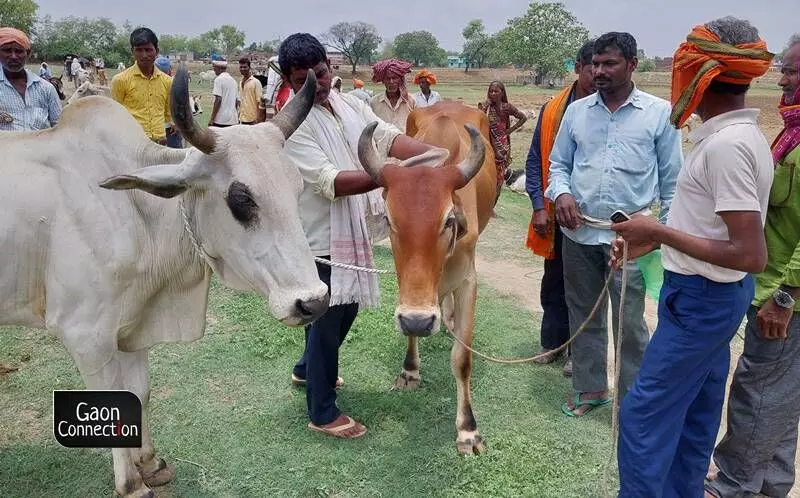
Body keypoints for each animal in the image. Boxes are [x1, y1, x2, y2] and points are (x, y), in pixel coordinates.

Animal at [0, 67, 328, 498]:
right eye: (241, 200)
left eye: (298, 189)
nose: (314, 301)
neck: (138, 213)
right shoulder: (85, 333)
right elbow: (108, 401)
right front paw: (129, 483)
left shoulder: (133, 324)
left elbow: (138, 393)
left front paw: (149, 462)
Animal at [360, 102, 496, 456]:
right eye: (389, 219)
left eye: (448, 220)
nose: (421, 320)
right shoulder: (407, 286)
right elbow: (411, 327)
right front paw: (410, 370)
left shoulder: (468, 280)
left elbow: (461, 359)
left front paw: (468, 430)